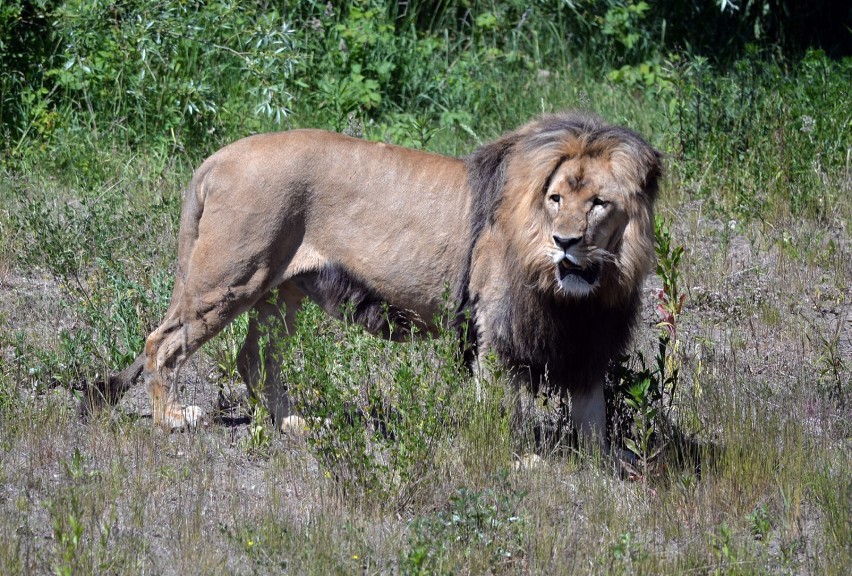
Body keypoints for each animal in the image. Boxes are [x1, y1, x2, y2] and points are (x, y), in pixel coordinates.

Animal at [95, 111, 664, 454]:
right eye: (555, 198)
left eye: (599, 203)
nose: (565, 241)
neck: (581, 291)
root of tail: (217, 158)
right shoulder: (496, 326)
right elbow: (500, 408)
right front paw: (515, 460)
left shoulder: (590, 341)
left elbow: (592, 419)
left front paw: (600, 472)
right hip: (231, 277)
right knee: (162, 342)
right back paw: (172, 419)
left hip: (280, 292)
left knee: (253, 358)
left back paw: (293, 424)